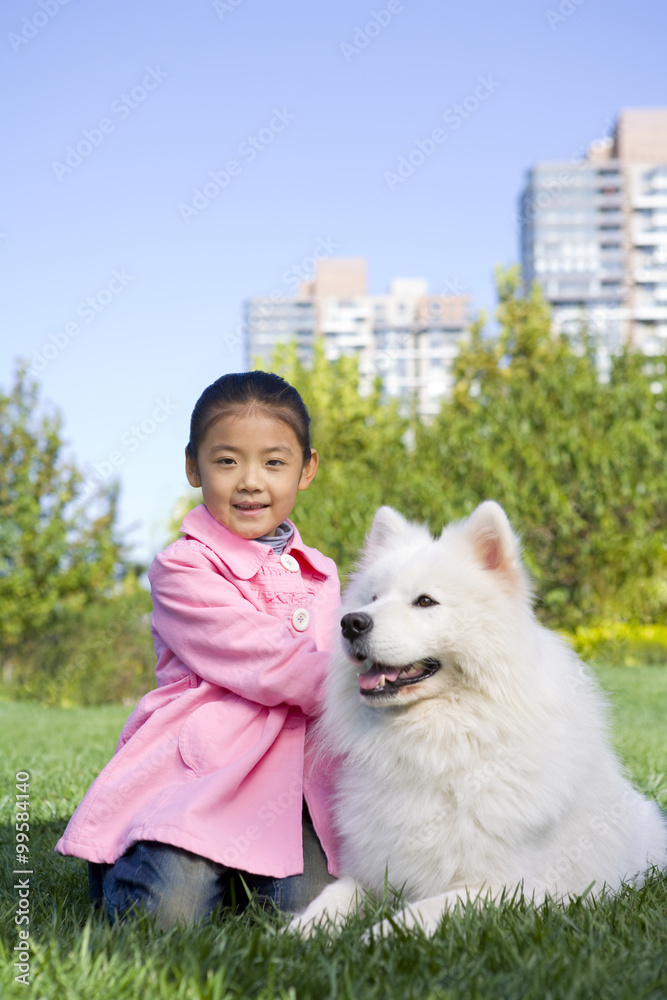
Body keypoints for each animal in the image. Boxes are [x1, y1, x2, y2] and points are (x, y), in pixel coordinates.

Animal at [292, 504, 667, 932]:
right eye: (372, 598)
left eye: (425, 602)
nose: (351, 622)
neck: (437, 744)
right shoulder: (371, 872)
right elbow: (330, 898)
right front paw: (299, 933)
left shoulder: (508, 890)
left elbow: (414, 914)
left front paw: (371, 938)